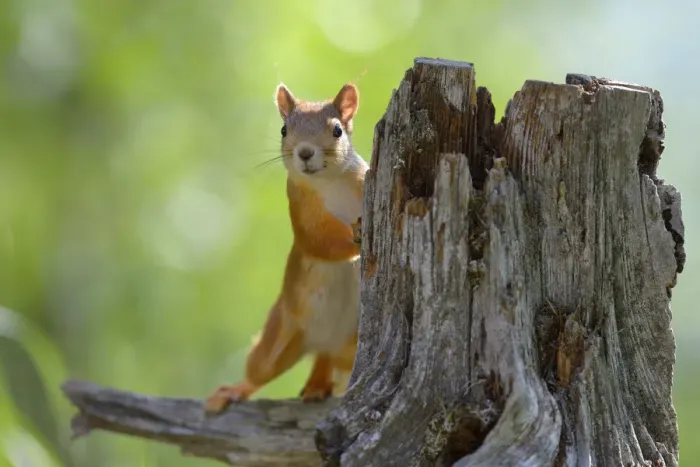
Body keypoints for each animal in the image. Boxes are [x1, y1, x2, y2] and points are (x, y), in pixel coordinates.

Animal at [204, 82, 368, 413]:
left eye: (337, 130)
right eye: (283, 129)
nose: (304, 152)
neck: (330, 181)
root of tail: (326, 342)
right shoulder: (302, 211)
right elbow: (319, 241)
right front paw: (354, 235)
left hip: (351, 342)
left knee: (328, 359)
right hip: (281, 333)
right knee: (260, 371)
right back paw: (234, 391)